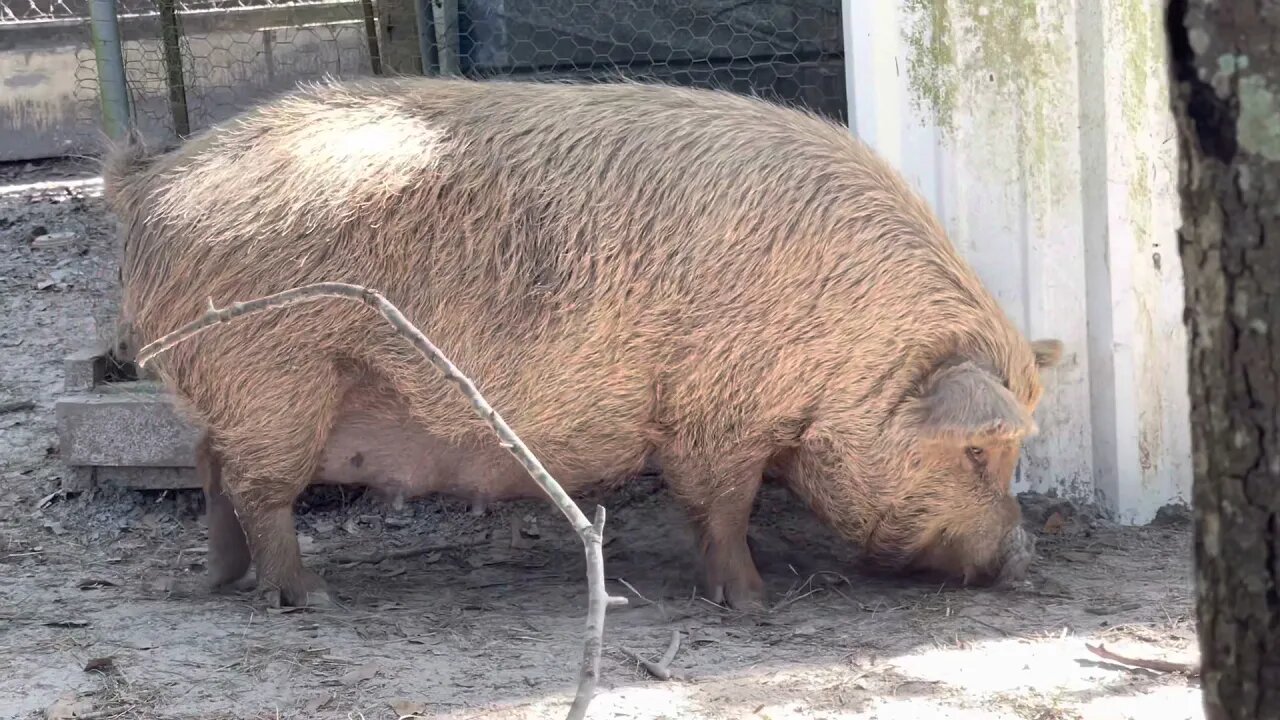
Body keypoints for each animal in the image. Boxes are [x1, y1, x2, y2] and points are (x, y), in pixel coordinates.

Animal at [99, 75, 1064, 607]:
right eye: (979, 452)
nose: (1026, 557)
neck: (848, 339)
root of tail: (153, 183)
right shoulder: (714, 406)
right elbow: (722, 502)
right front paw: (753, 604)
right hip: (273, 376)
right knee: (257, 489)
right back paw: (312, 597)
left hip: (240, 389)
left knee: (209, 467)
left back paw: (222, 582)